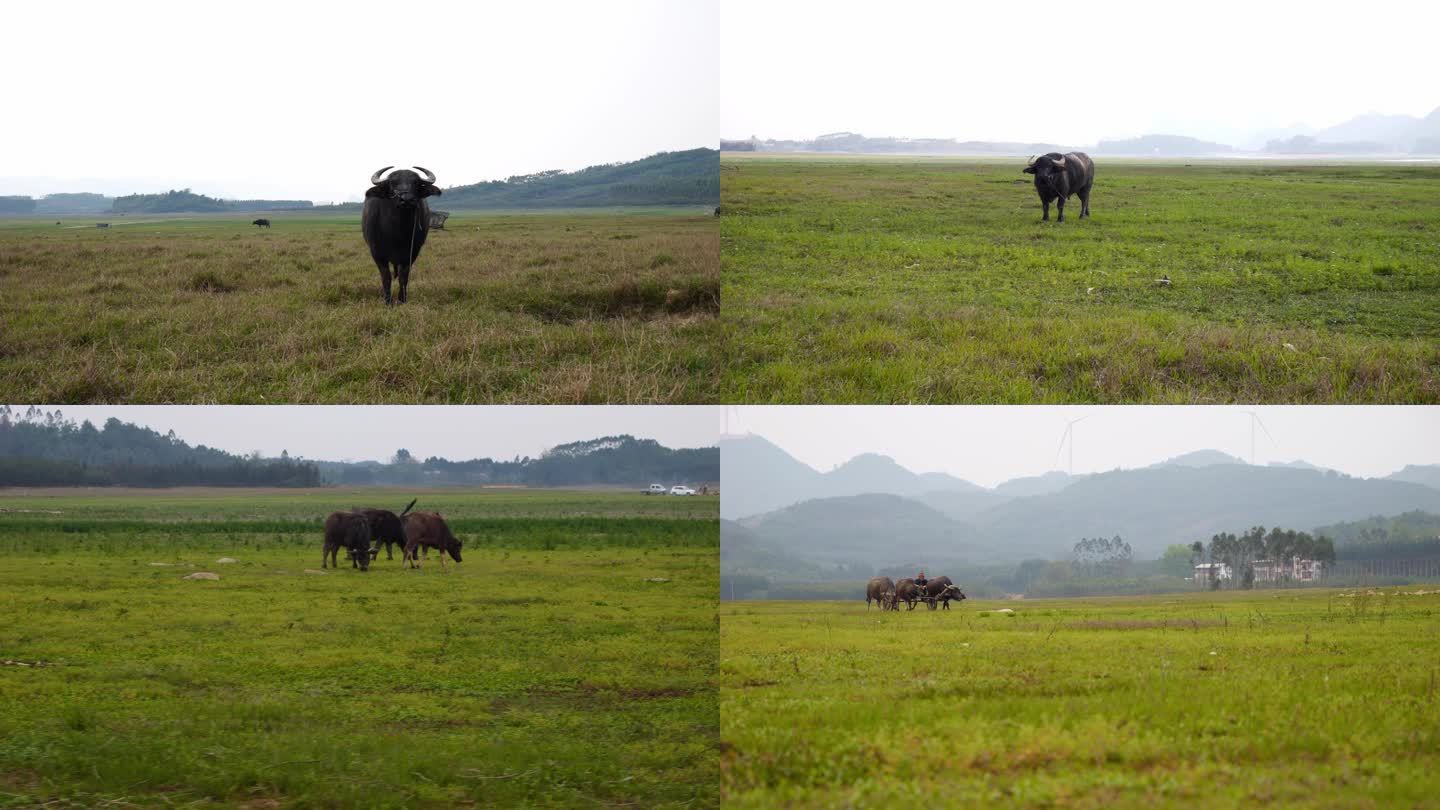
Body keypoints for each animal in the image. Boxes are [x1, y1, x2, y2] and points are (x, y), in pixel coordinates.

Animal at [358, 165, 437, 304]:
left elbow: (403, 276)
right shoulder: (377, 253)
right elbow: (386, 277)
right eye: (392, 183)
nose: (407, 199)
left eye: (416, 182)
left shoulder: (411, 253)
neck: (397, 231)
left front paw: (402, 299)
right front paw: (388, 301)